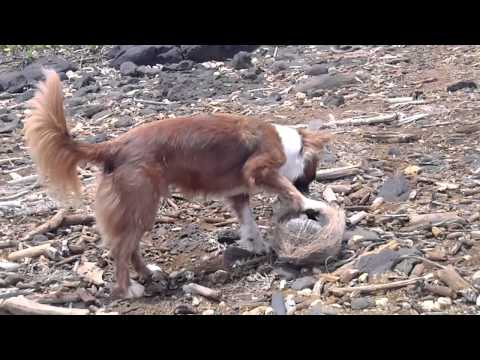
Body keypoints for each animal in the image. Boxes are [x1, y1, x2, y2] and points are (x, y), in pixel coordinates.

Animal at [24, 69, 332, 298]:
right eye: (310, 176)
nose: (309, 188)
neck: (288, 143)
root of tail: (114, 146)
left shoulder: (238, 193)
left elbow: (249, 223)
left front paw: (257, 245)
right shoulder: (259, 167)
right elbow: (283, 187)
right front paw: (309, 203)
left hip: (140, 209)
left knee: (129, 247)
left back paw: (147, 273)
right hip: (142, 205)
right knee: (121, 249)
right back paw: (128, 289)